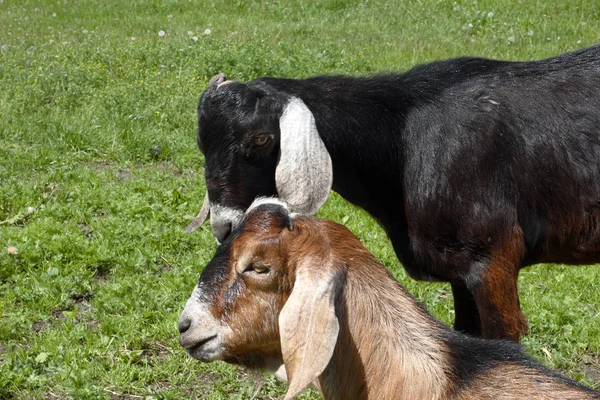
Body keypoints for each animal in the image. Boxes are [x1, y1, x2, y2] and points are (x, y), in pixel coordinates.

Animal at [188, 46, 600, 340]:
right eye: (202, 142)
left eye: (261, 138)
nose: (225, 226)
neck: (402, 140)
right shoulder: (459, 268)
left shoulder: (493, 259)